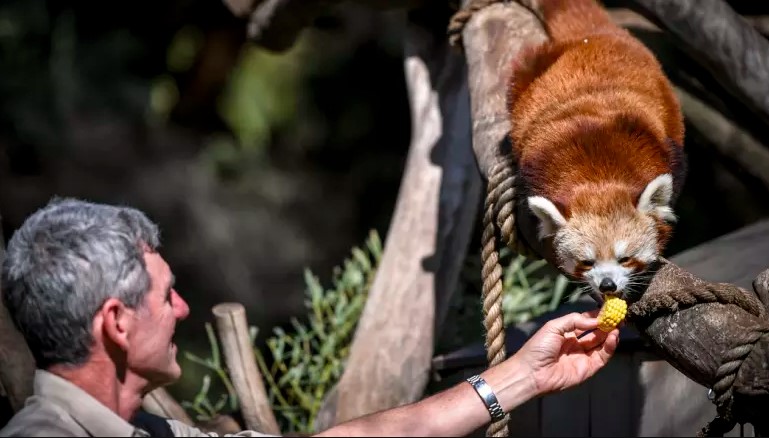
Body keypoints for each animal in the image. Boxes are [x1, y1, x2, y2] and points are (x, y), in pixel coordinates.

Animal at [508, 0, 688, 300]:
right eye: (587, 262)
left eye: (625, 258)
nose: (607, 284)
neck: (598, 173)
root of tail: (593, 35)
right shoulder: (535, 164)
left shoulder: (664, 150)